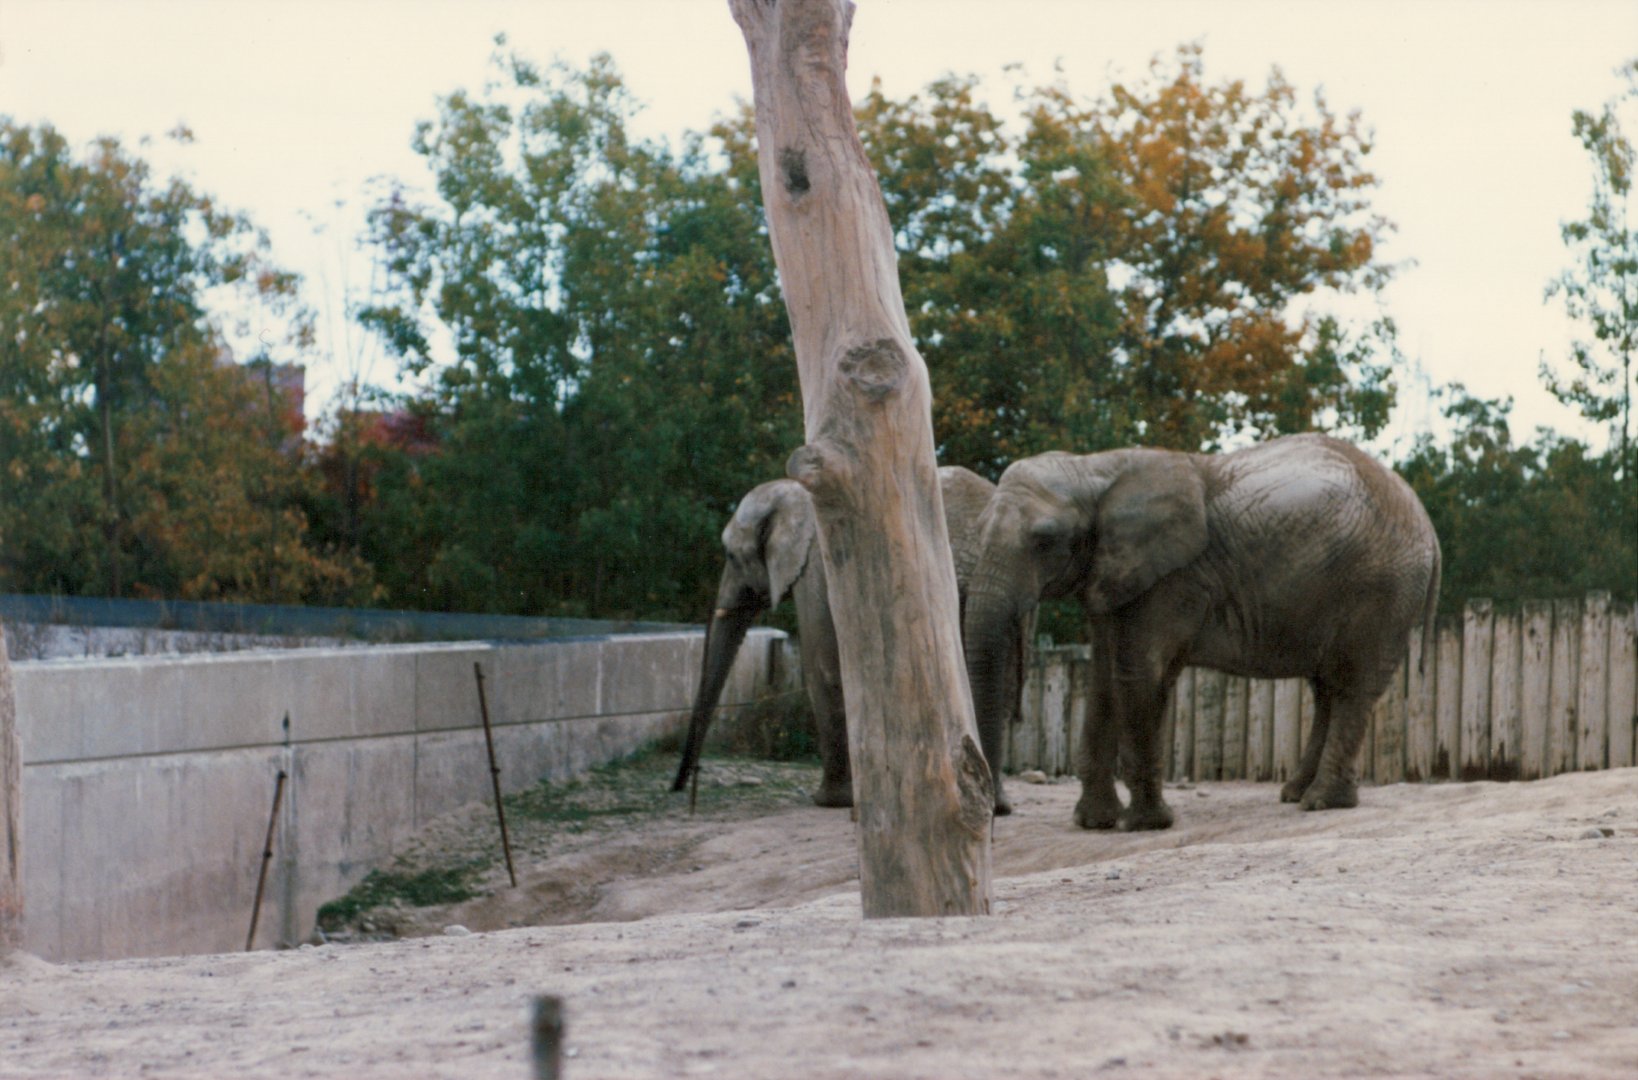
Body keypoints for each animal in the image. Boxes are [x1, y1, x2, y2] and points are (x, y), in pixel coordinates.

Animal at [671, 465, 1018, 810]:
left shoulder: (814, 565)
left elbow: (822, 663)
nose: (680, 786)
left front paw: (830, 801)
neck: (793, 490)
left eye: (730, 555)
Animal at [961, 433, 1440, 831]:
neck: (1094, 470)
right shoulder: (1113, 575)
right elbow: (1102, 681)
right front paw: (1094, 823)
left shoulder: (1173, 578)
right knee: (1326, 689)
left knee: (1351, 686)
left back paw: (1321, 803)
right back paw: (1294, 794)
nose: (999, 811)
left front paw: (1145, 825)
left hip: (1382, 589)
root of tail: (1429, 528)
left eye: (1044, 540)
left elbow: (1137, 675)